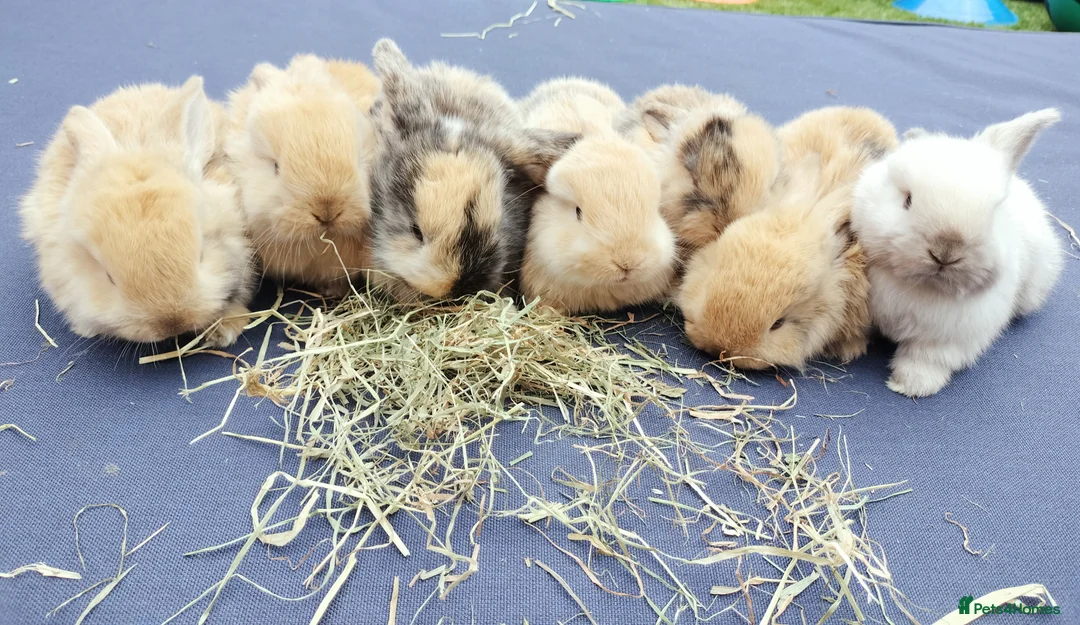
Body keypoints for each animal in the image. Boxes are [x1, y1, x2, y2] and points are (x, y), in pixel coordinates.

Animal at [851, 108, 1065, 397]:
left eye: (994, 212)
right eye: (908, 200)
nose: (946, 250)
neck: (922, 287)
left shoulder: (947, 340)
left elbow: (924, 360)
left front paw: (909, 386)